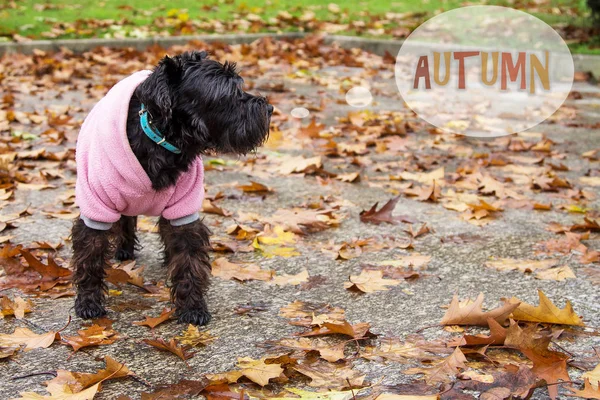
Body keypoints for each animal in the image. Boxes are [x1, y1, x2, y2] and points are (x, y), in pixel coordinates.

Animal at [71, 50, 274, 324]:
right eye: (228, 92)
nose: (270, 108)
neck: (162, 141)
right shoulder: (97, 206)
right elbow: (90, 258)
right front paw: (88, 303)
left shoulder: (184, 208)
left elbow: (189, 260)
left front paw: (193, 307)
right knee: (125, 219)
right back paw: (124, 250)